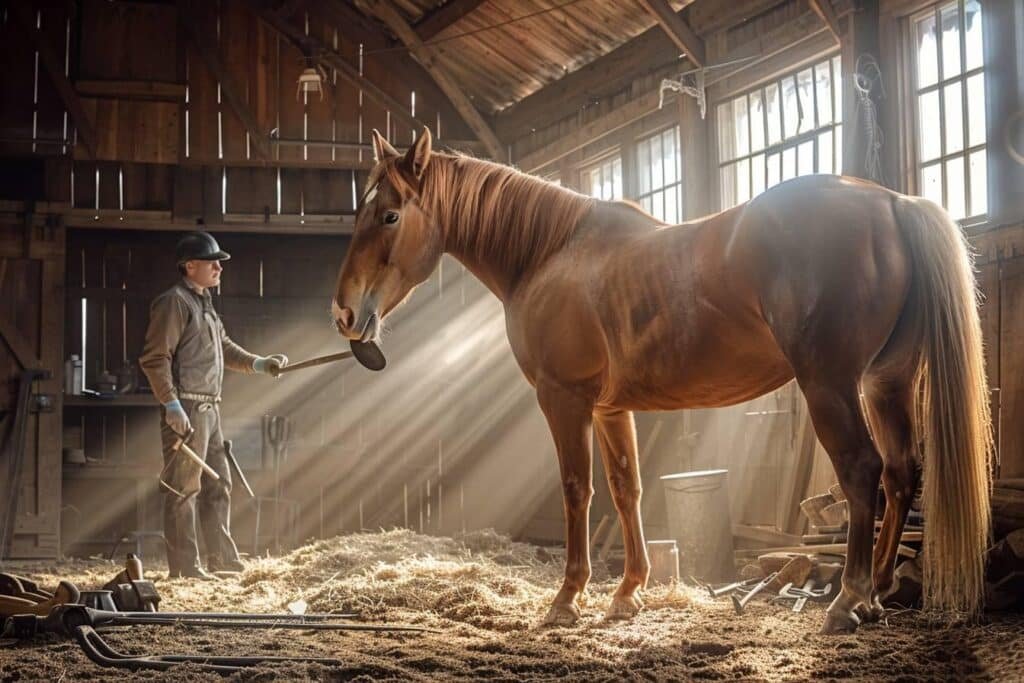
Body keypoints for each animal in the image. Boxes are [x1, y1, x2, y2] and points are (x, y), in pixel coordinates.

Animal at [333, 127, 991, 634]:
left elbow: (578, 490)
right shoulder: (608, 409)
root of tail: (892, 202)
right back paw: (877, 592)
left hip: (829, 384)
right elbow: (627, 489)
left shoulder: (564, 400)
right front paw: (628, 592)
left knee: (861, 471)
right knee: (902, 472)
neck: (549, 254)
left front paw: (567, 599)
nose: (343, 314)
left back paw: (849, 600)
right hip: (885, 383)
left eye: (389, 214)